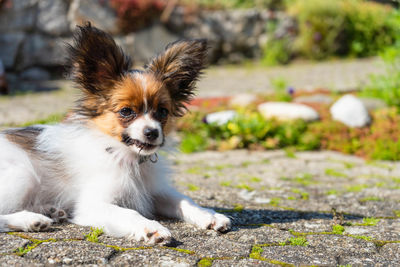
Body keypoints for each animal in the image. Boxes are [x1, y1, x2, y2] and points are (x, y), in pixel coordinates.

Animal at [0, 24, 231, 246]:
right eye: (126, 111)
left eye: (163, 112)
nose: (152, 132)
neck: (128, 157)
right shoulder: (93, 204)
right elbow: (129, 213)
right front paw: (151, 228)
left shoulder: (155, 190)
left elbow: (184, 200)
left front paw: (209, 215)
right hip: (23, 175)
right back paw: (31, 219)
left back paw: (50, 211)